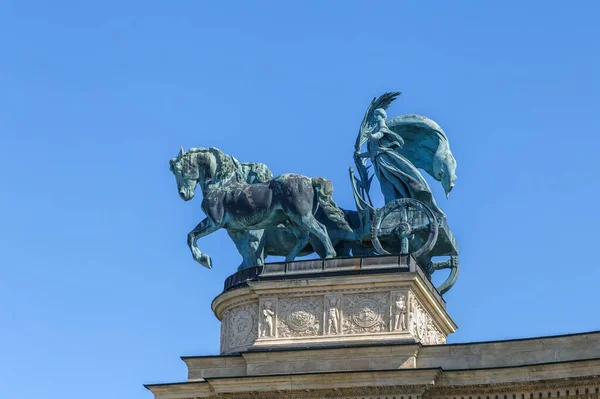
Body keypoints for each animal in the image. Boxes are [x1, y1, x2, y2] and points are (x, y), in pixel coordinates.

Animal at [168, 147, 352, 268]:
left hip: (301, 216)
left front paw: (204, 260)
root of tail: (310, 180)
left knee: (320, 229)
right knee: (304, 236)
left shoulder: (215, 222)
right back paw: (288, 260)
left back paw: (329, 255)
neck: (222, 184)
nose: (183, 194)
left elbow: (191, 236)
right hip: (292, 220)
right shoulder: (235, 230)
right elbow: (245, 255)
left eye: (179, 169)